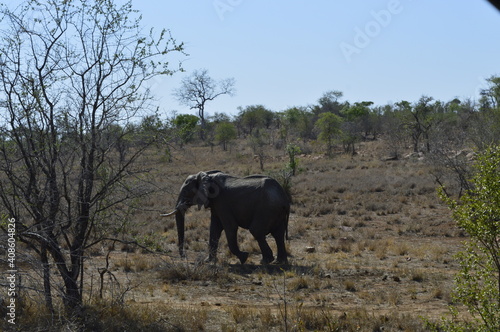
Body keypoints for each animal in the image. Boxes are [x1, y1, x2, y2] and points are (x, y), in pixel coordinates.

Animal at [162, 171, 292, 264]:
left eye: (185, 191)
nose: (184, 257)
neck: (207, 175)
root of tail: (284, 198)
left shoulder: (222, 202)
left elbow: (230, 227)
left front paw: (244, 257)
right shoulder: (215, 203)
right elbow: (214, 229)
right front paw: (208, 261)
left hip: (266, 209)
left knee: (256, 230)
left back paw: (265, 261)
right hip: (276, 212)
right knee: (278, 234)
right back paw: (279, 262)